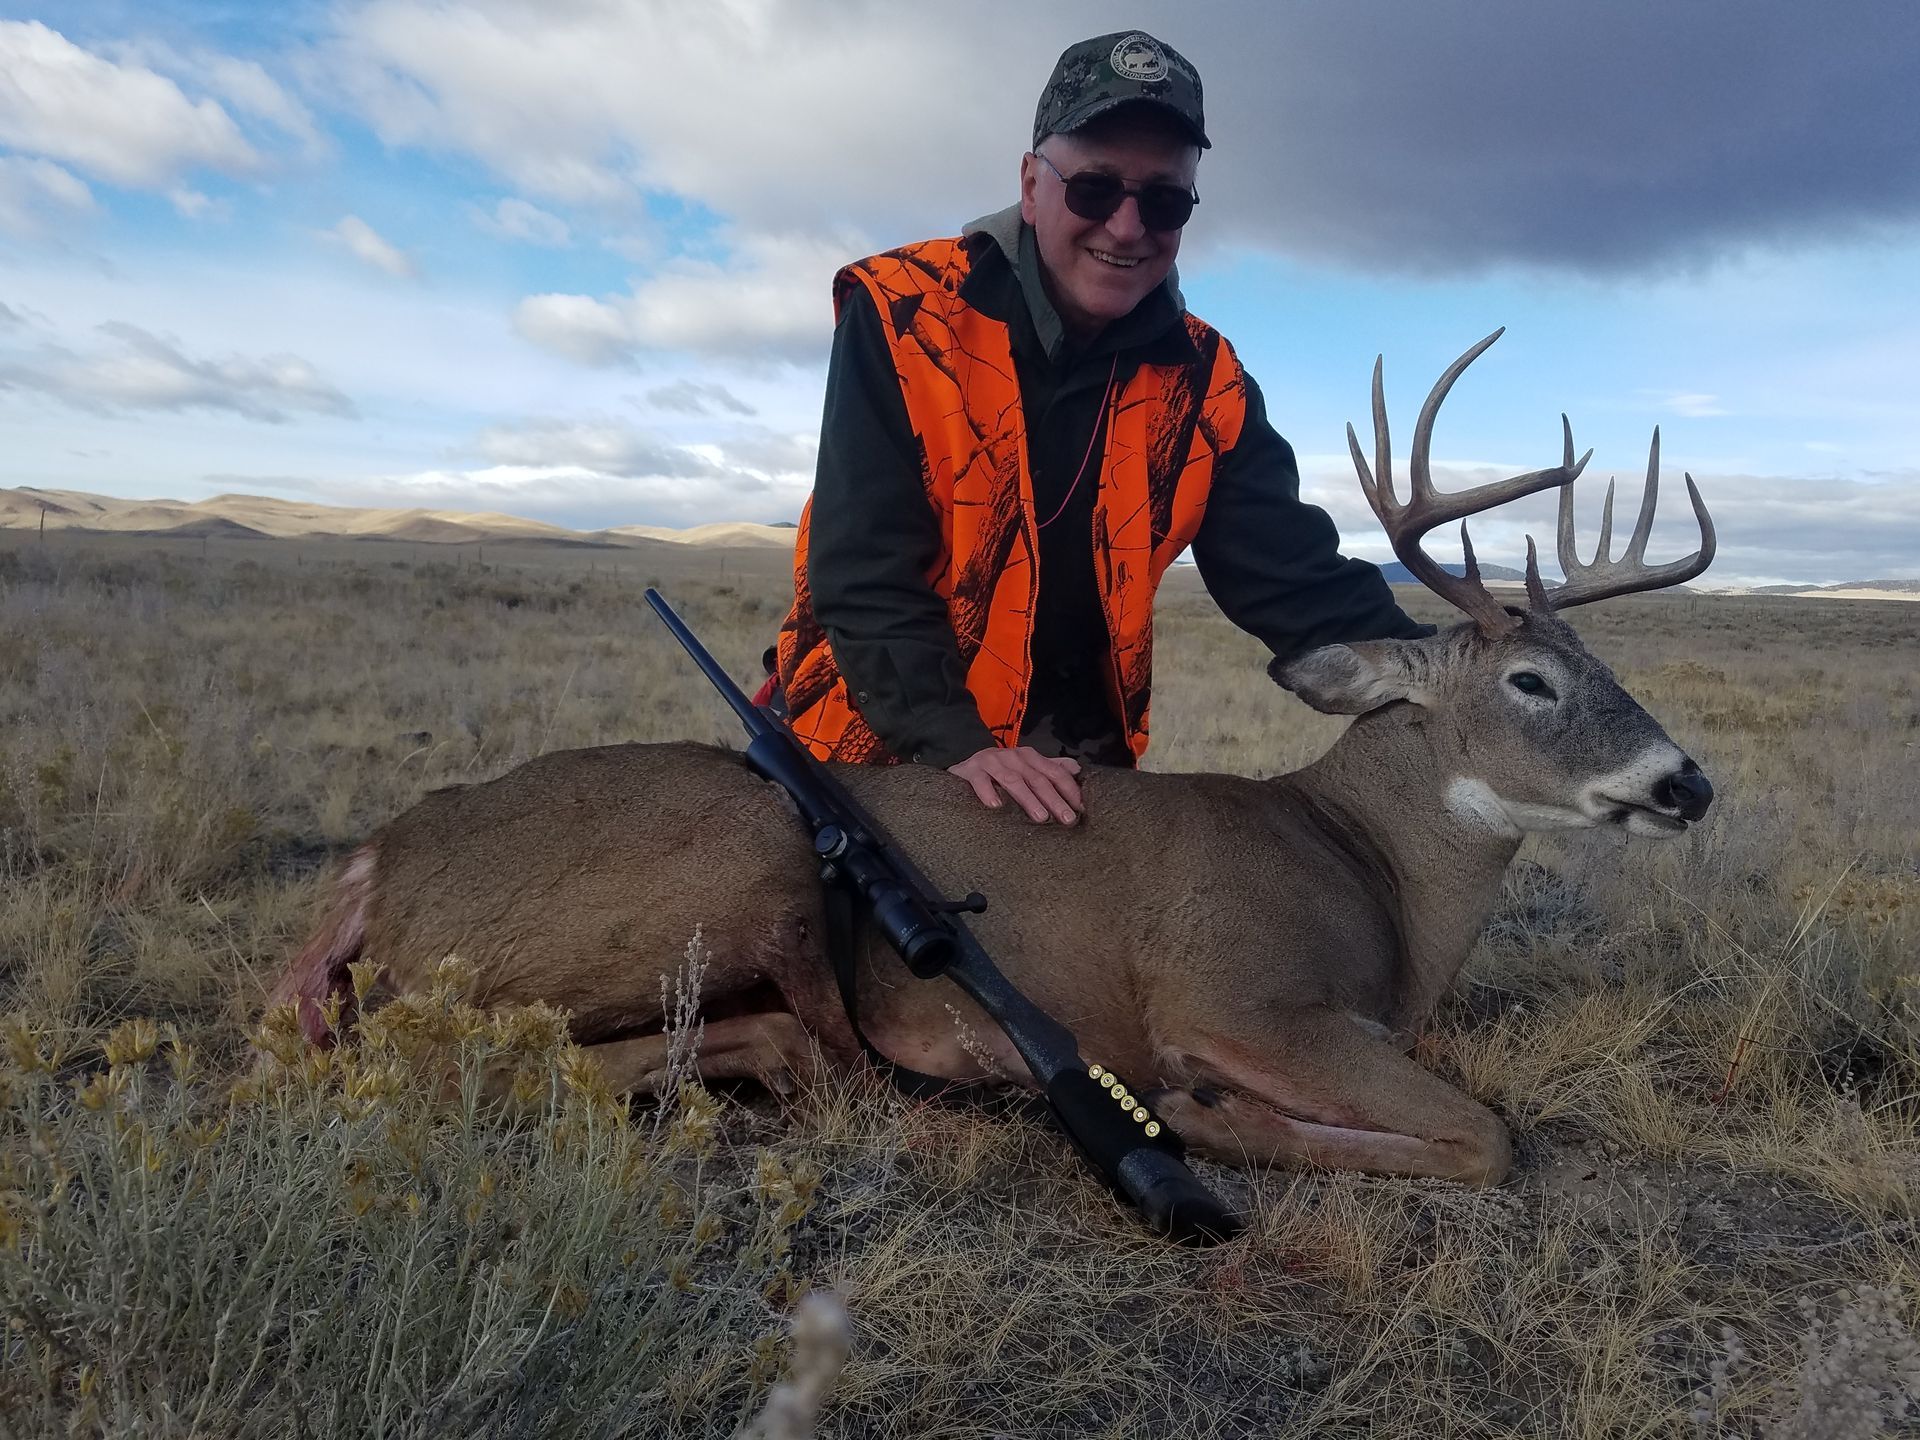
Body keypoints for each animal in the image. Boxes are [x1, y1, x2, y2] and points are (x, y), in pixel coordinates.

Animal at [269, 331, 1715, 1188]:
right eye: (1531, 681)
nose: (1684, 782)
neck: (1378, 886)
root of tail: (378, 861)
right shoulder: (1235, 996)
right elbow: (1485, 1135)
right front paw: (1204, 1117)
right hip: (740, 854)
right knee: (510, 1061)